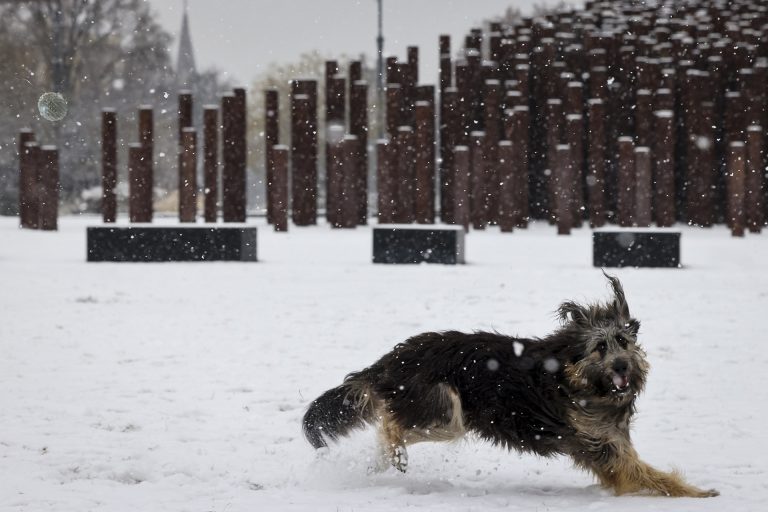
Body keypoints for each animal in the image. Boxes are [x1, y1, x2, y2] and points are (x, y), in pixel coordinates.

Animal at [302, 274, 720, 498]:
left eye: (623, 342)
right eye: (600, 347)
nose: (622, 367)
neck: (575, 378)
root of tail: (390, 360)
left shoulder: (610, 445)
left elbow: (638, 470)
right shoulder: (599, 444)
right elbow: (650, 474)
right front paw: (698, 493)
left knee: (389, 426)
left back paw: (382, 462)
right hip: (445, 411)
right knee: (391, 426)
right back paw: (394, 456)